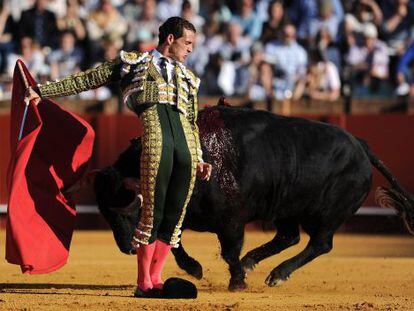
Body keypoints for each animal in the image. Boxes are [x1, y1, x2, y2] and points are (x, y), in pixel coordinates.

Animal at [94, 106, 414, 292]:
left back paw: (277, 274)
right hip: (286, 209)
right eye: (107, 215)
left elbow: (228, 251)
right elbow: (175, 243)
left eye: (130, 210)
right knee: (289, 237)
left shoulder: (232, 222)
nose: (128, 248)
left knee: (320, 243)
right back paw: (255, 263)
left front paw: (237, 282)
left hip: (326, 215)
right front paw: (196, 269)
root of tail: (360, 144)